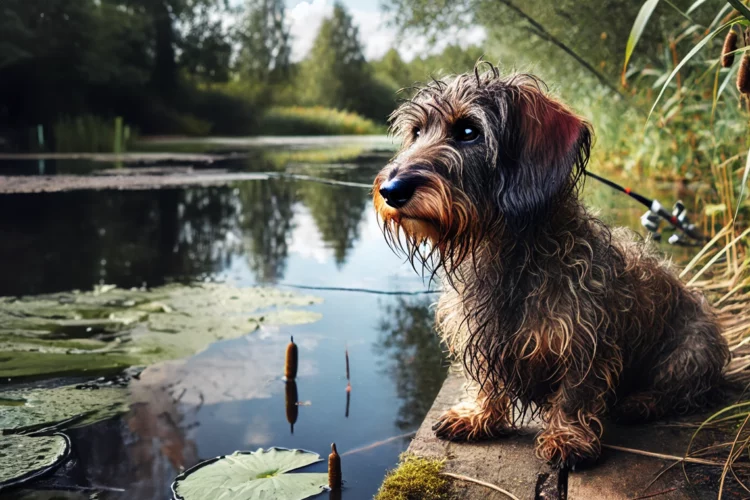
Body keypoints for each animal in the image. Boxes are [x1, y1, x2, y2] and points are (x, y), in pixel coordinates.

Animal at [374, 64, 732, 466]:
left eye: (468, 132)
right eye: (417, 132)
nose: (391, 190)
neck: (508, 253)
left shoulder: (585, 340)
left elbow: (576, 392)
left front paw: (567, 437)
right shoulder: (480, 333)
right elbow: (486, 381)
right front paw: (478, 415)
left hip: (693, 350)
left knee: (680, 391)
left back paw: (642, 402)